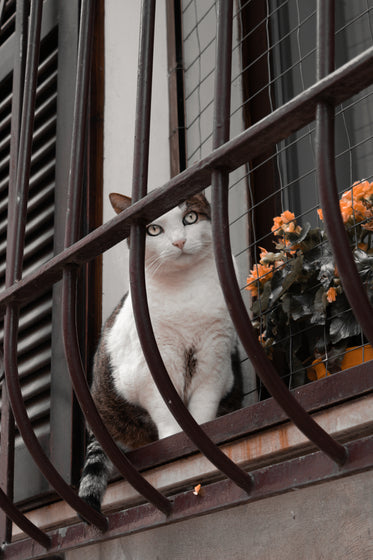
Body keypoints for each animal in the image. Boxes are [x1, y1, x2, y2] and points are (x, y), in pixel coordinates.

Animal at [77, 191, 241, 512]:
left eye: (190, 217)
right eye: (154, 230)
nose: (179, 242)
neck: (186, 290)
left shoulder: (214, 360)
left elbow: (202, 410)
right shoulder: (151, 368)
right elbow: (167, 414)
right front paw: (178, 441)